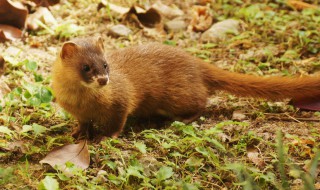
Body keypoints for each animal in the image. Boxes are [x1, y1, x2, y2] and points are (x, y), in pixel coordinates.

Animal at [52, 37, 320, 141]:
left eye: (106, 64)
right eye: (86, 67)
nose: (104, 80)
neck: (82, 102)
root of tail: (195, 61)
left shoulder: (121, 101)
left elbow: (118, 122)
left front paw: (105, 137)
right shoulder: (77, 111)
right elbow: (83, 123)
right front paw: (77, 133)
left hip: (176, 96)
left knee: (202, 102)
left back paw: (179, 120)